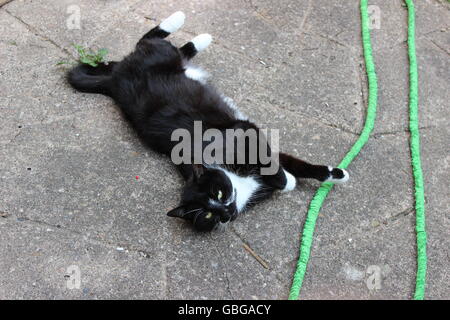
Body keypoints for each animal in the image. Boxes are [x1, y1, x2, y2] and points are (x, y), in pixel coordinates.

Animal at [67, 11, 348, 231]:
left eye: (218, 193)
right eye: (208, 215)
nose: (226, 214)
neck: (239, 183)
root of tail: (114, 79)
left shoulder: (246, 133)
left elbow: (290, 165)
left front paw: (332, 174)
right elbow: (286, 167)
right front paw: (300, 179)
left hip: (159, 57)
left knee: (150, 40)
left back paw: (184, 24)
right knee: (171, 49)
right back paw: (198, 39)